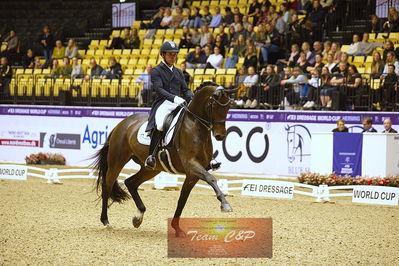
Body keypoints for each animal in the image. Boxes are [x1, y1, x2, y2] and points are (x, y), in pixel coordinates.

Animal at [93, 82, 238, 236]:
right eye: (214, 105)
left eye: (228, 106)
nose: (220, 136)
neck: (195, 125)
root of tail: (122, 124)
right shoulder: (192, 165)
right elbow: (211, 179)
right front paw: (225, 204)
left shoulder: (192, 174)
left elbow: (182, 200)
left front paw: (177, 228)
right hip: (116, 162)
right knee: (107, 187)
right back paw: (106, 222)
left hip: (151, 169)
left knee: (130, 182)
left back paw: (138, 217)